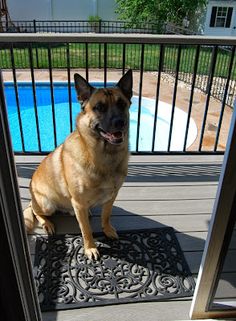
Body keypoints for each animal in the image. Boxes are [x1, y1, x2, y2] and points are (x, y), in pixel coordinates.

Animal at [23, 69, 133, 258]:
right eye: (99, 107)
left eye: (122, 104)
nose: (120, 122)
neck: (104, 156)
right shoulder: (79, 204)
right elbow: (86, 230)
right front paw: (90, 248)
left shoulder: (111, 196)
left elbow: (106, 216)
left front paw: (107, 230)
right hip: (46, 204)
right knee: (36, 212)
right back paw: (47, 223)